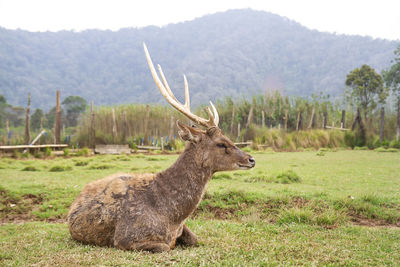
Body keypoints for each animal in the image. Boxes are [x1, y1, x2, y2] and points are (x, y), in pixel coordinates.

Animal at [67, 43, 255, 252]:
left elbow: (195, 239)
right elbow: (165, 247)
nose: (251, 159)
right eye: (221, 143)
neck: (173, 216)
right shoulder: (125, 238)